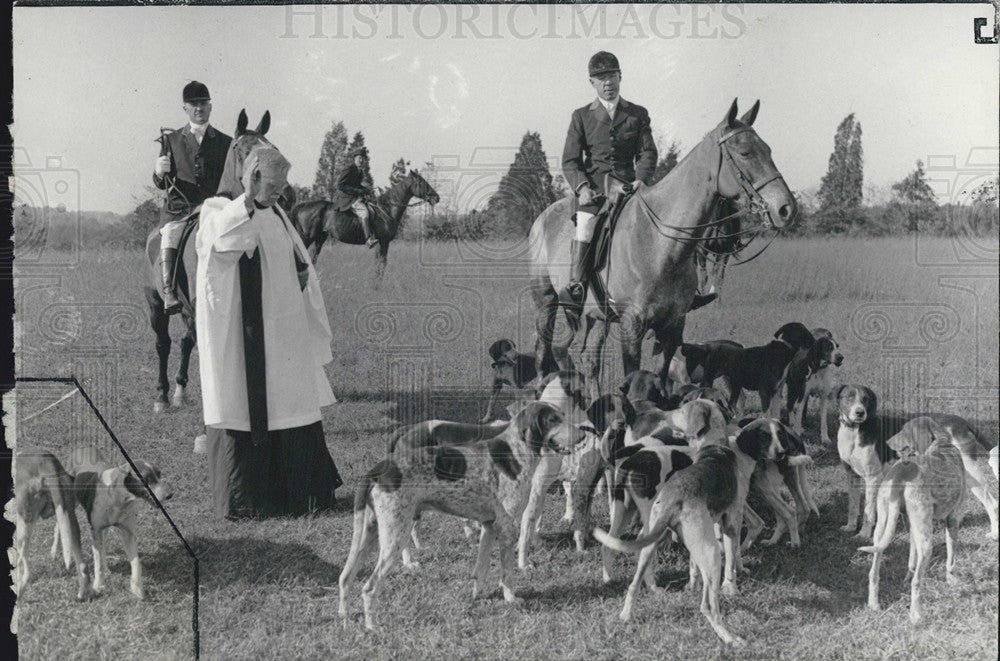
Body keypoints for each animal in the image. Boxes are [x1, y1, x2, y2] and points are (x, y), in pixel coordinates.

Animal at [145, 109, 292, 410]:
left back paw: (179, 390)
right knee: (163, 343)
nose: (283, 194)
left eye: (274, 148)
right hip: (156, 303)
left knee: (186, 341)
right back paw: (162, 395)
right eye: (242, 150)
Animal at [288, 169, 440, 280]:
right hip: (306, 237)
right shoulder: (382, 242)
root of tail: (302, 206)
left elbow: (381, 264)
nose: (436, 198)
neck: (387, 209)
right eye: (422, 182)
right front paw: (376, 287)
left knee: (312, 259)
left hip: (320, 238)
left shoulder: (383, 243)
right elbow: (380, 264)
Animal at [532, 97, 796, 398]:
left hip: (596, 316)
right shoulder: (632, 326)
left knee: (589, 360)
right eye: (745, 153)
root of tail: (544, 216)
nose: (786, 209)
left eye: (768, 150)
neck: (661, 245)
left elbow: (658, 378)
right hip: (546, 303)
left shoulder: (672, 327)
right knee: (546, 351)